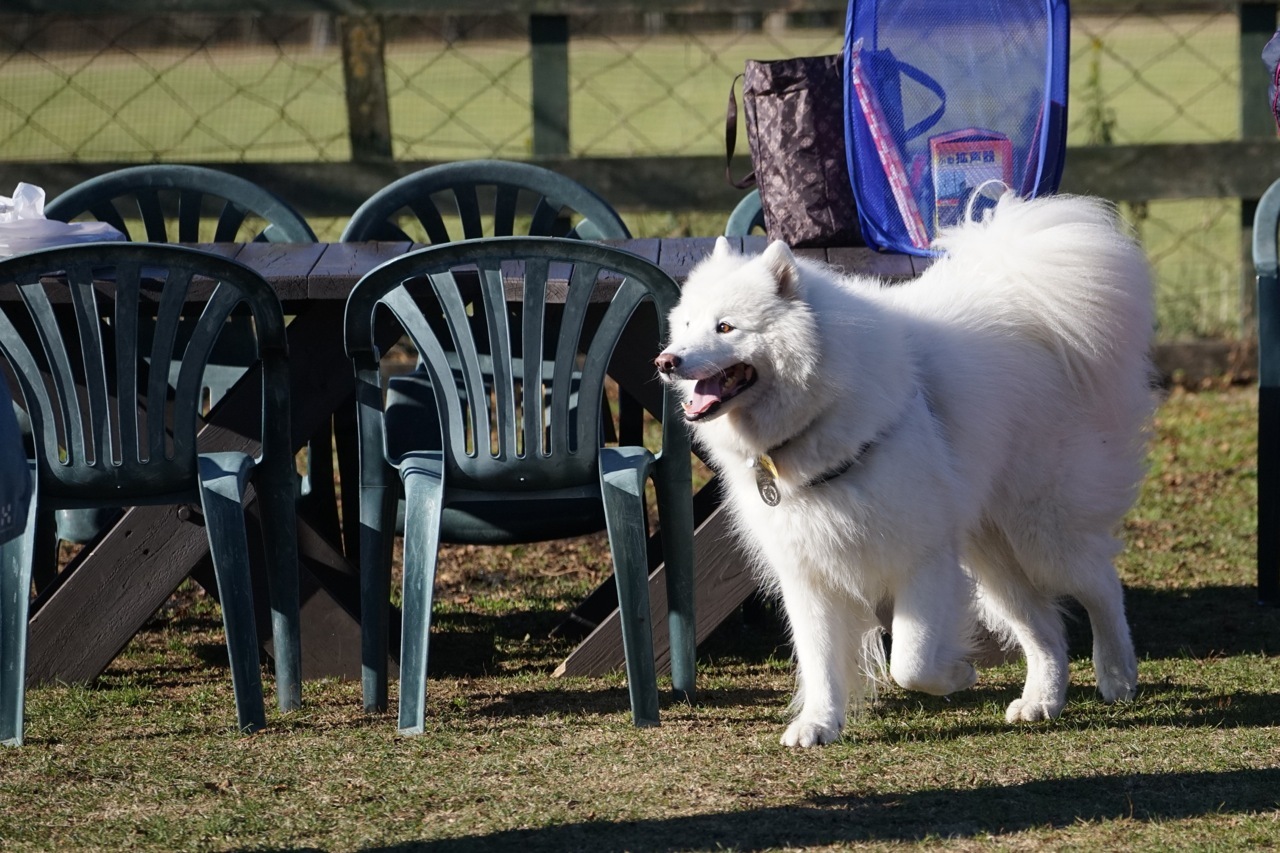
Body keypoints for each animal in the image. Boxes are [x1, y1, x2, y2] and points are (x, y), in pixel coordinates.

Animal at [655, 192, 1157, 742]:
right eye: (686, 325)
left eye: (725, 327)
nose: (665, 361)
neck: (825, 406)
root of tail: (1026, 301)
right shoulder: (808, 570)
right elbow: (820, 660)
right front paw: (818, 723)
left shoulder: (923, 558)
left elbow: (909, 664)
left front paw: (957, 675)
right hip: (990, 550)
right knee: (1043, 628)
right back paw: (1042, 700)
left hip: (1040, 533)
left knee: (1101, 584)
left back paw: (1116, 673)